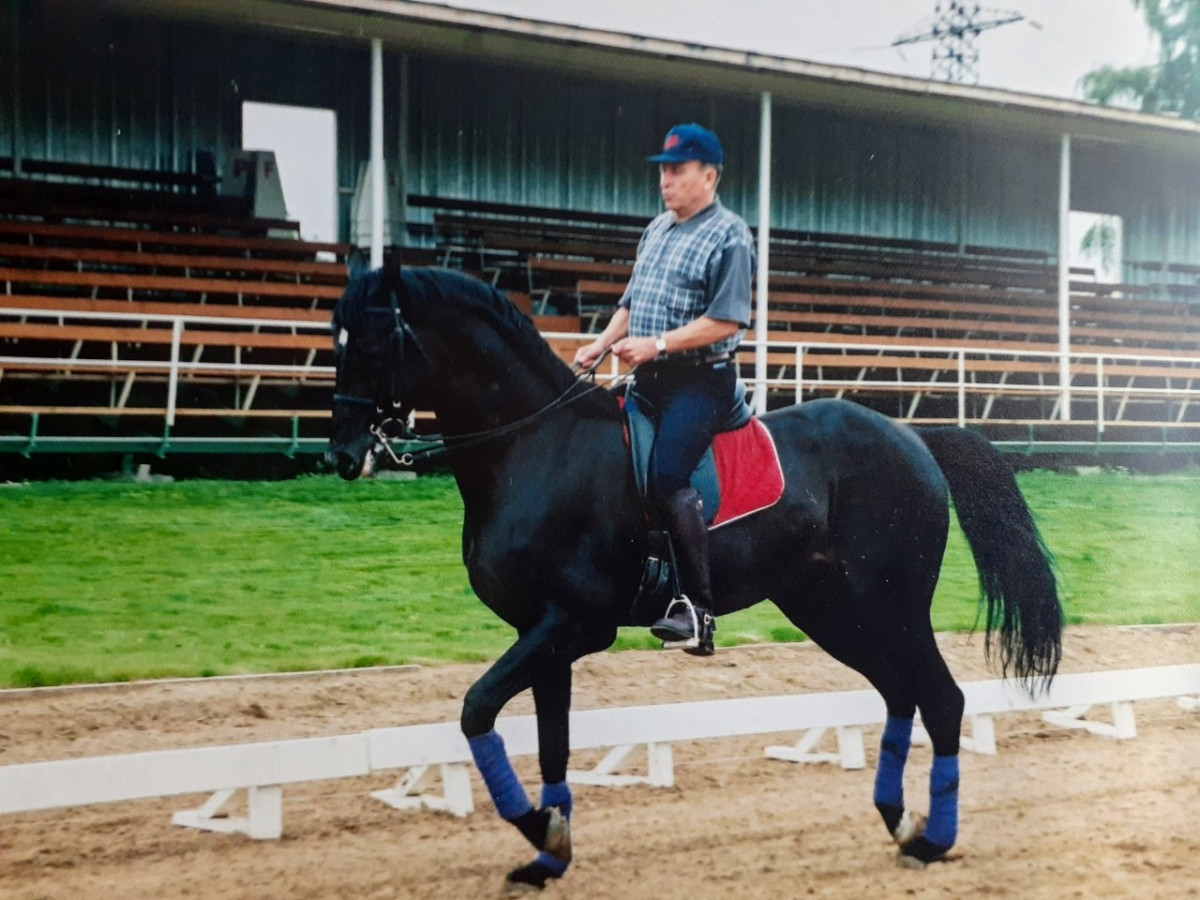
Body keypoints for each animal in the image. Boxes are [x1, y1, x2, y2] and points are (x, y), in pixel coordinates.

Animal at [326, 260, 1060, 897]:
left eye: (374, 340)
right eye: (335, 340)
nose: (341, 456)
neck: (536, 449)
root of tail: (913, 437)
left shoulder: (574, 625)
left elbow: (477, 708)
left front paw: (542, 832)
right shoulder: (545, 635)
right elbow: (552, 743)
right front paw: (549, 853)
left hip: (891, 606)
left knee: (940, 698)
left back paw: (933, 839)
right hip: (834, 610)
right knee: (902, 692)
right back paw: (901, 821)